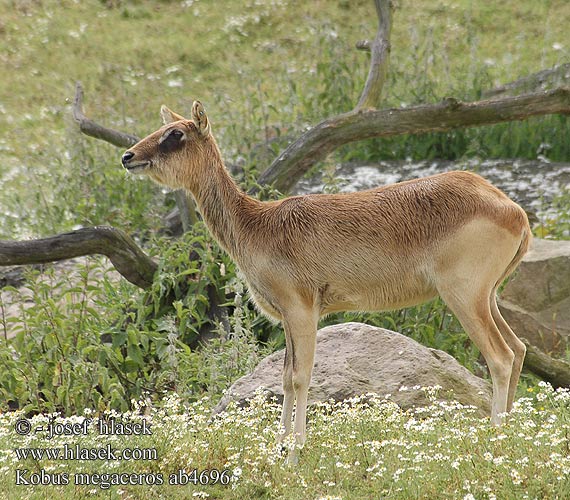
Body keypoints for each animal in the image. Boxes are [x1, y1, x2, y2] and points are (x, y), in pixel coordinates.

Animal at [122, 100, 532, 460]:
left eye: (175, 134)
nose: (128, 156)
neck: (258, 224)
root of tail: (513, 209)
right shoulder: (288, 319)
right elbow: (284, 377)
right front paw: (278, 450)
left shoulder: (303, 311)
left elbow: (301, 377)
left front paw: (294, 454)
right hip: (487, 298)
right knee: (519, 348)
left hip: (464, 298)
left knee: (500, 358)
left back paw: (495, 440)